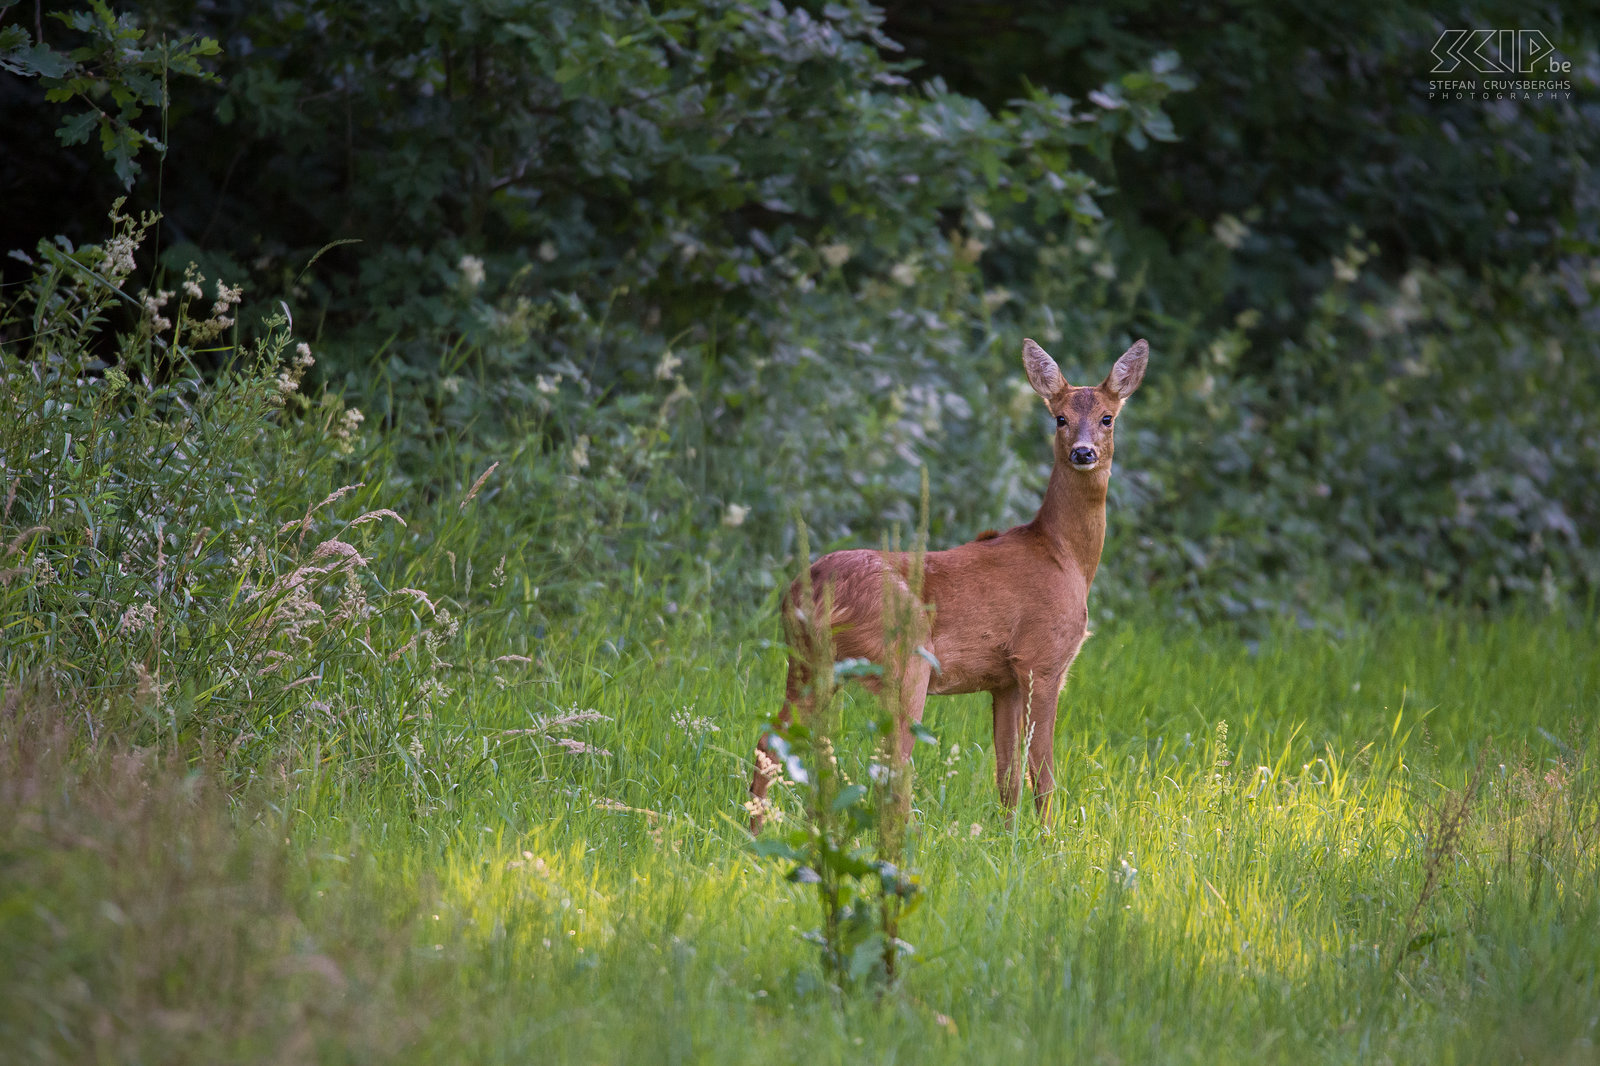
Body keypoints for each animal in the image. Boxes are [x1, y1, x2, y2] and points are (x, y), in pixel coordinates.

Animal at [748, 336, 1152, 825]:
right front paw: (1048, 836)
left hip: (810, 663)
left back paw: (755, 830)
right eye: (1060, 418)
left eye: (1107, 417)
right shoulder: (1042, 658)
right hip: (905, 657)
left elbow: (1007, 774)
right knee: (892, 766)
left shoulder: (1004, 678)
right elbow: (1043, 773)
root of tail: (808, 592)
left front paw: (1010, 834)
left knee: (771, 740)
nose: (1083, 452)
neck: (1064, 556)